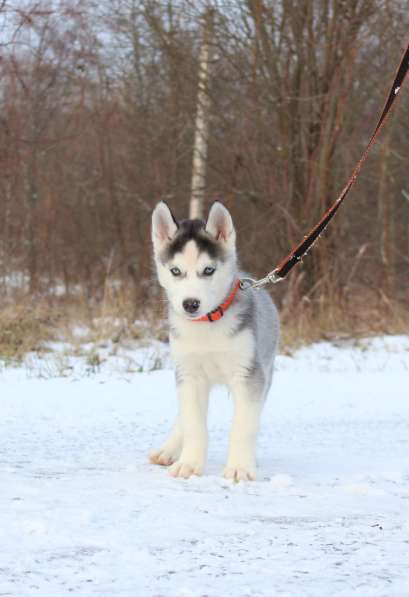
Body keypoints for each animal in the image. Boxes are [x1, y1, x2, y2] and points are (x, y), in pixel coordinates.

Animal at [151, 200, 278, 480]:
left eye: (208, 270)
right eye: (175, 271)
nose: (190, 304)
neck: (208, 325)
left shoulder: (249, 374)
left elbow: (243, 426)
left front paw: (240, 467)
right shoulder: (189, 374)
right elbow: (193, 424)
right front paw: (189, 464)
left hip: (265, 370)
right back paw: (168, 450)